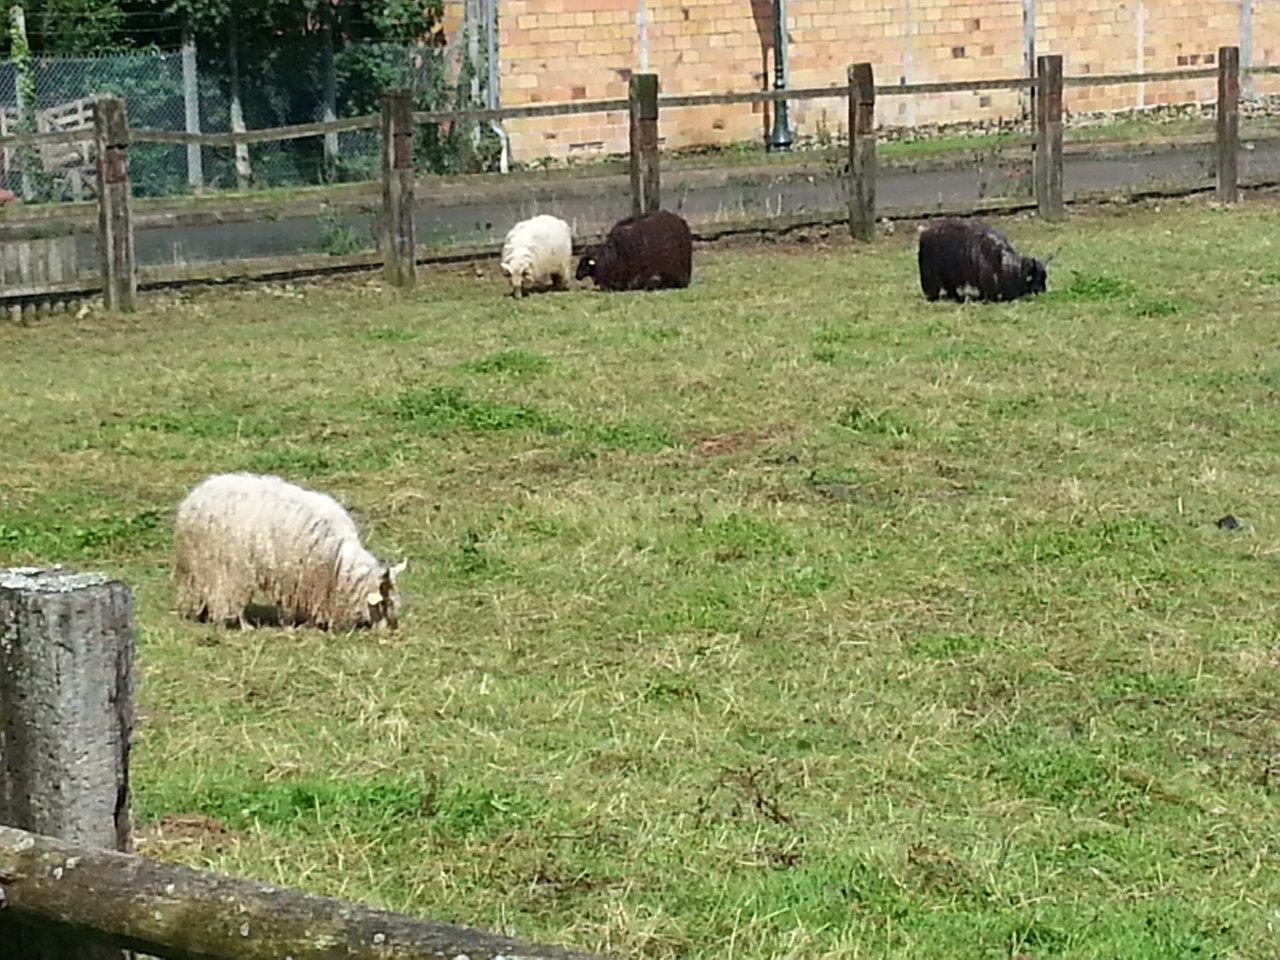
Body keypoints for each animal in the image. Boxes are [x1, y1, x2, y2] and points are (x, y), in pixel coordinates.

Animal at [172, 473, 404, 632]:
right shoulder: (297, 575)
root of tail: (191, 503)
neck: (338, 562)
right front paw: (291, 624)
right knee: (229, 595)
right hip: (227, 565)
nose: (384, 630)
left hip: (203, 564)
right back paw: (242, 625)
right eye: (383, 603)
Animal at [921, 218, 1049, 302]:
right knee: (935, 287)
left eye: (1044, 278)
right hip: (931, 273)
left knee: (950, 287)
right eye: (1037, 278)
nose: (1043, 291)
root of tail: (926, 232)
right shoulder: (986, 277)